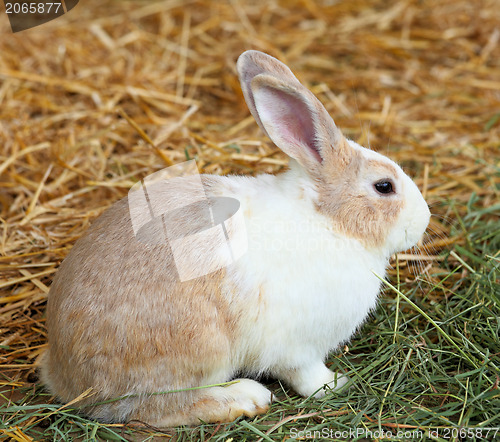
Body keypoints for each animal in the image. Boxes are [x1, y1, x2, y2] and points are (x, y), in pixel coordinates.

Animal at [40, 50, 430, 426]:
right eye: (384, 187)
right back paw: (245, 398)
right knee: (156, 408)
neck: (327, 218)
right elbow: (306, 375)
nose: (424, 219)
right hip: (201, 347)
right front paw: (336, 384)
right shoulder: (298, 348)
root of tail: (65, 376)